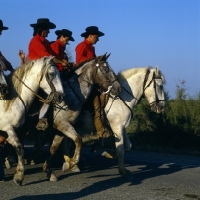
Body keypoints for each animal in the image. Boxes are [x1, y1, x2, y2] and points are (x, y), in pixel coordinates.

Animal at [0, 56, 64, 186]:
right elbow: (19, 148)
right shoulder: (7, 128)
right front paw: (19, 176)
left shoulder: (18, 129)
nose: (61, 96)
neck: (10, 101)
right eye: (52, 74)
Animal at [42, 53, 122, 181]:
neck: (70, 96)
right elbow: (78, 140)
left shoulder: (60, 129)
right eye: (106, 69)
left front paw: (49, 170)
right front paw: (72, 163)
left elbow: (53, 148)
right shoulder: (62, 124)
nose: (119, 88)